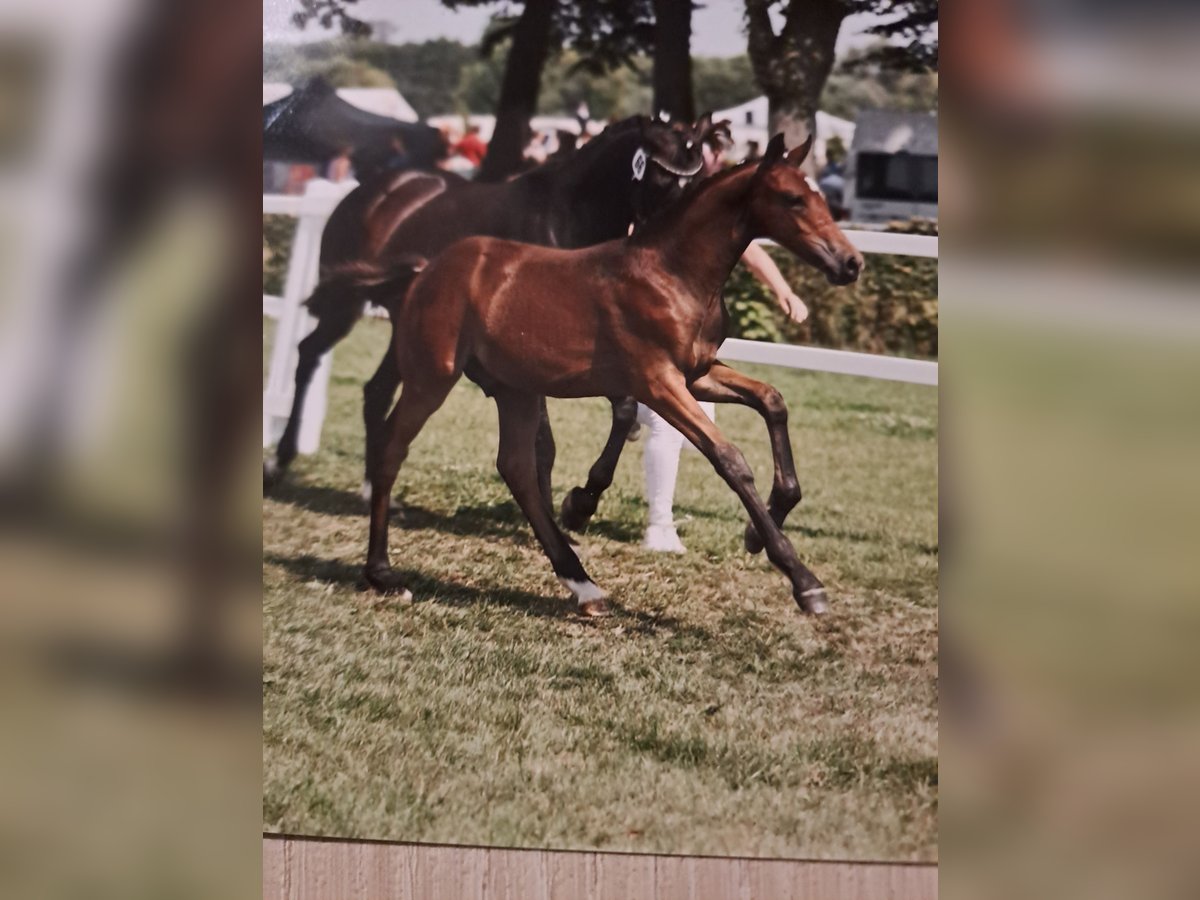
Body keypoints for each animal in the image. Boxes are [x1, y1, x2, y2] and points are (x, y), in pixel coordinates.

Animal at [360, 137, 859, 619]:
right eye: (793, 199)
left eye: (820, 198)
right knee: (393, 448)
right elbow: (729, 457)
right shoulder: (658, 382)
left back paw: (584, 586)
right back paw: (382, 574)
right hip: (431, 377)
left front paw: (762, 529)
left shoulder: (697, 374)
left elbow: (772, 400)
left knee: (516, 468)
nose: (851, 263)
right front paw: (802, 579)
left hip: (515, 389)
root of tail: (427, 270)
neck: (673, 275)